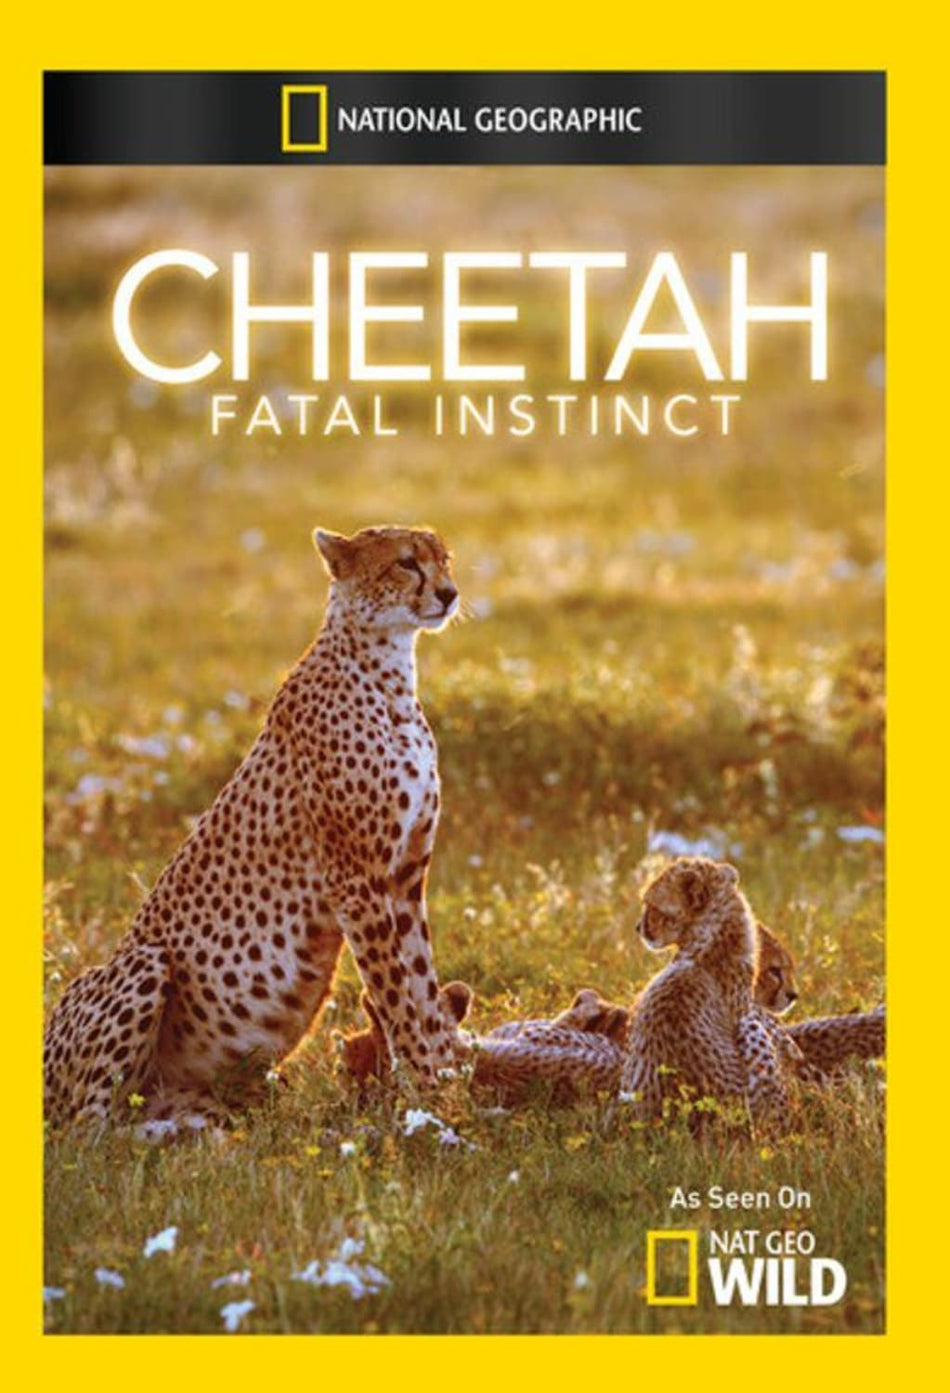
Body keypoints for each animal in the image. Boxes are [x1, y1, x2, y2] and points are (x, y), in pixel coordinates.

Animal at [44, 524, 467, 1131]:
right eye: (407, 562)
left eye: (444, 559)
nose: (450, 594)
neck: (388, 673)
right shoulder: (356, 881)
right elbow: (395, 994)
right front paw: (430, 1094)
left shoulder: (405, 878)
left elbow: (422, 984)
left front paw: (449, 1082)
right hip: (142, 964)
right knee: (88, 1133)